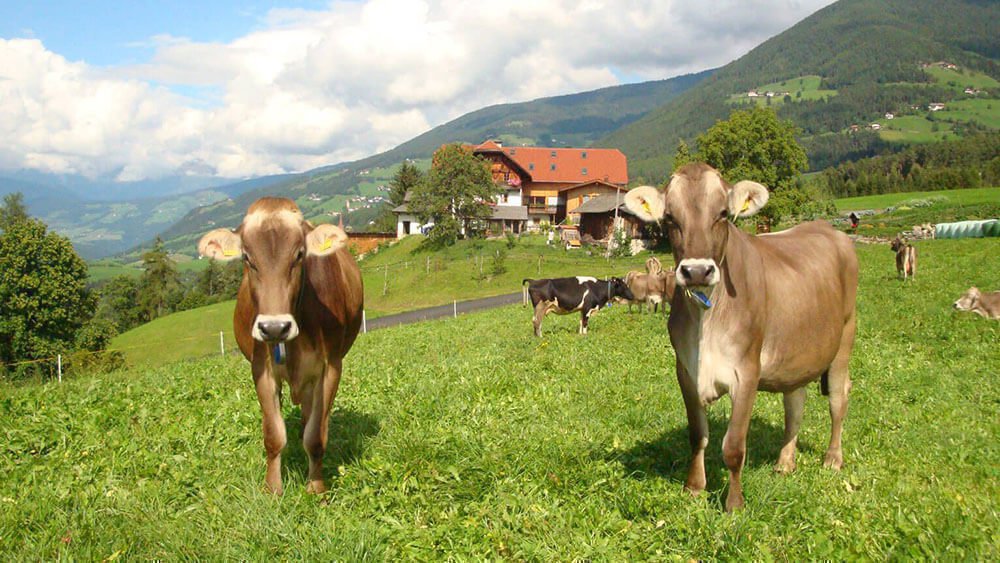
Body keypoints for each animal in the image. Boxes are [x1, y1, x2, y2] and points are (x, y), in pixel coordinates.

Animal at [197, 197, 366, 494]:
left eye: (299, 255)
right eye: (247, 258)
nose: (274, 327)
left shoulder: (331, 367)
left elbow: (316, 437)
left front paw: (316, 488)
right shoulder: (261, 370)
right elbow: (274, 436)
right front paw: (272, 490)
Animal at [628, 163, 856, 512]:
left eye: (723, 213)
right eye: (669, 218)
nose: (697, 271)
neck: (706, 321)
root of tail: (828, 229)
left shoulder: (747, 372)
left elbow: (734, 446)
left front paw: (734, 503)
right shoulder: (686, 371)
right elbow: (697, 435)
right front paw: (694, 488)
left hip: (845, 336)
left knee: (838, 399)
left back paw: (832, 458)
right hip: (799, 352)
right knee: (795, 404)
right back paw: (785, 462)